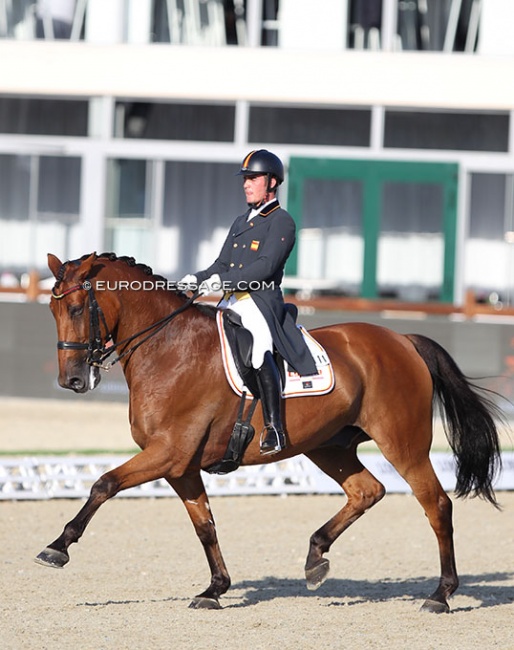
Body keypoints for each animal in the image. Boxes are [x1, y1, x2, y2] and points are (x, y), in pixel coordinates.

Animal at [36, 251, 500, 612]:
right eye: (52, 311)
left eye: (76, 309)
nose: (72, 380)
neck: (168, 349)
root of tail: (401, 339)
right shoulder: (179, 465)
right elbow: (205, 526)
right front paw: (215, 589)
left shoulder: (167, 453)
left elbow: (104, 483)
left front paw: (57, 547)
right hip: (328, 446)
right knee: (367, 491)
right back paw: (316, 557)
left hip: (403, 444)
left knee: (436, 505)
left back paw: (440, 595)